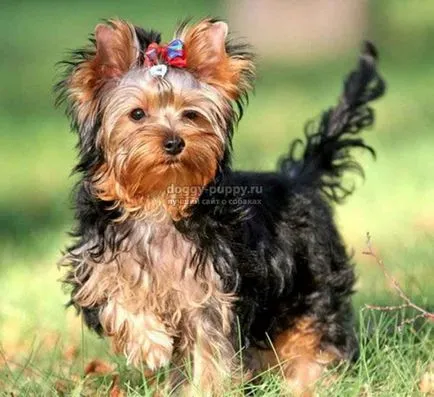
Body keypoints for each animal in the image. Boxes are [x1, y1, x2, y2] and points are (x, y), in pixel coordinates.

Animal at [56, 17, 384, 392]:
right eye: (137, 114)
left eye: (191, 114)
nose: (174, 142)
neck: (160, 200)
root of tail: (298, 178)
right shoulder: (97, 262)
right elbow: (113, 293)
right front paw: (150, 344)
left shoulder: (212, 291)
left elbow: (211, 353)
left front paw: (204, 389)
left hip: (313, 280)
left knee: (314, 333)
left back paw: (307, 383)